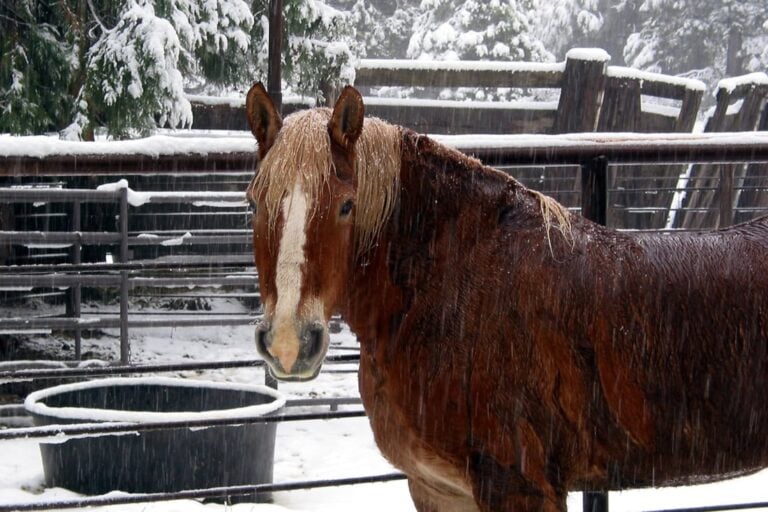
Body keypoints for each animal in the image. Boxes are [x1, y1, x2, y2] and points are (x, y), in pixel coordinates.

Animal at [243, 82, 768, 511]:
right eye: (253, 203)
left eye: (347, 206)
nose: (289, 343)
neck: (454, 288)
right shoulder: (438, 488)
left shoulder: (519, 487)